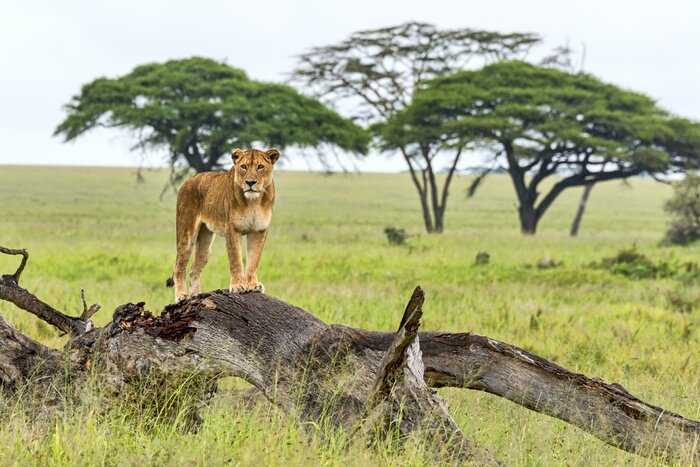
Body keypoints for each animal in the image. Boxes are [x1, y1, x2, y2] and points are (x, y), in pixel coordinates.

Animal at [167, 148, 280, 301]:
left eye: (260, 167)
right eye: (243, 167)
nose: (250, 182)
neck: (254, 201)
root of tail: (189, 180)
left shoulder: (259, 231)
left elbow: (254, 260)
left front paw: (253, 285)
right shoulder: (232, 230)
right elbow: (235, 259)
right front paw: (238, 285)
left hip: (205, 244)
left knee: (193, 270)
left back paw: (197, 296)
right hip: (186, 235)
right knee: (178, 266)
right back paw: (182, 296)